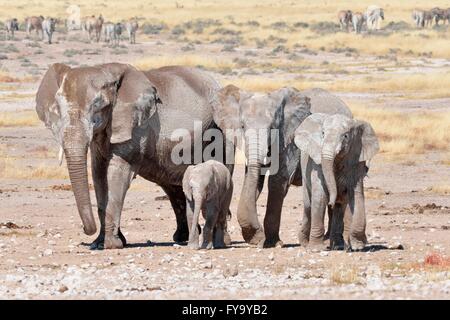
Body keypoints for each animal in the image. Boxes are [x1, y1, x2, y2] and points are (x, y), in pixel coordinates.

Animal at [35, 62, 227, 248]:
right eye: (58, 109)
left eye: (98, 106)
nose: (84, 230)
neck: (104, 70)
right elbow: (98, 174)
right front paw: (99, 243)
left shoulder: (134, 126)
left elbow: (117, 173)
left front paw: (111, 244)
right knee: (172, 186)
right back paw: (182, 238)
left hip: (218, 130)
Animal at [213, 85, 312, 248]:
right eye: (242, 126)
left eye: (272, 127)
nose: (257, 236)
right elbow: (255, 181)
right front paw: (256, 238)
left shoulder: (290, 140)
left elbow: (278, 181)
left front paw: (272, 243)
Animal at [296, 114, 380, 251]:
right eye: (323, 133)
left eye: (345, 136)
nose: (331, 202)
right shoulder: (316, 164)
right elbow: (320, 197)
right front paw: (316, 248)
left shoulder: (355, 160)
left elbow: (356, 195)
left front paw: (358, 246)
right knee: (308, 206)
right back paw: (305, 243)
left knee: (339, 209)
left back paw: (338, 245)